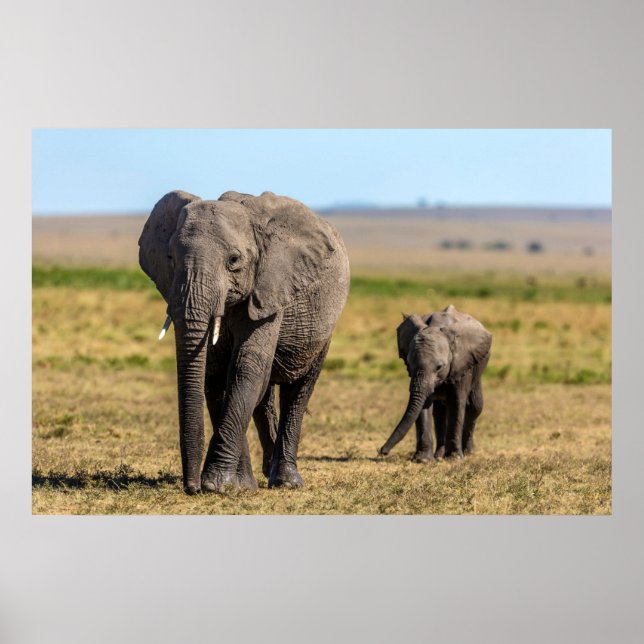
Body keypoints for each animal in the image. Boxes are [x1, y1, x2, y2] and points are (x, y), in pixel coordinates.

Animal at [138, 189, 350, 494]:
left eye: (234, 260)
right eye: (170, 257)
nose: (191, 487)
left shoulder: (269, 289)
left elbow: (245, 368)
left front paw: (217, 485)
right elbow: (215, 375)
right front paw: (239, 486)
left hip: (324, 326)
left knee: (298, 390)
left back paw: (286, 482)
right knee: (264, 395)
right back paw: (266, 474)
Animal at [378, 305, 492, 461]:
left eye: (439, 367)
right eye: (409, 364)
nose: (382, 451)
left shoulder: (461, 363)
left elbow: (457, 401)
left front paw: (454, 458)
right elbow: (425, 404)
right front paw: (423, 460)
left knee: (475, 406)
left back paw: (467, 452)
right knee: (439, 412)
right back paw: (439, 455)